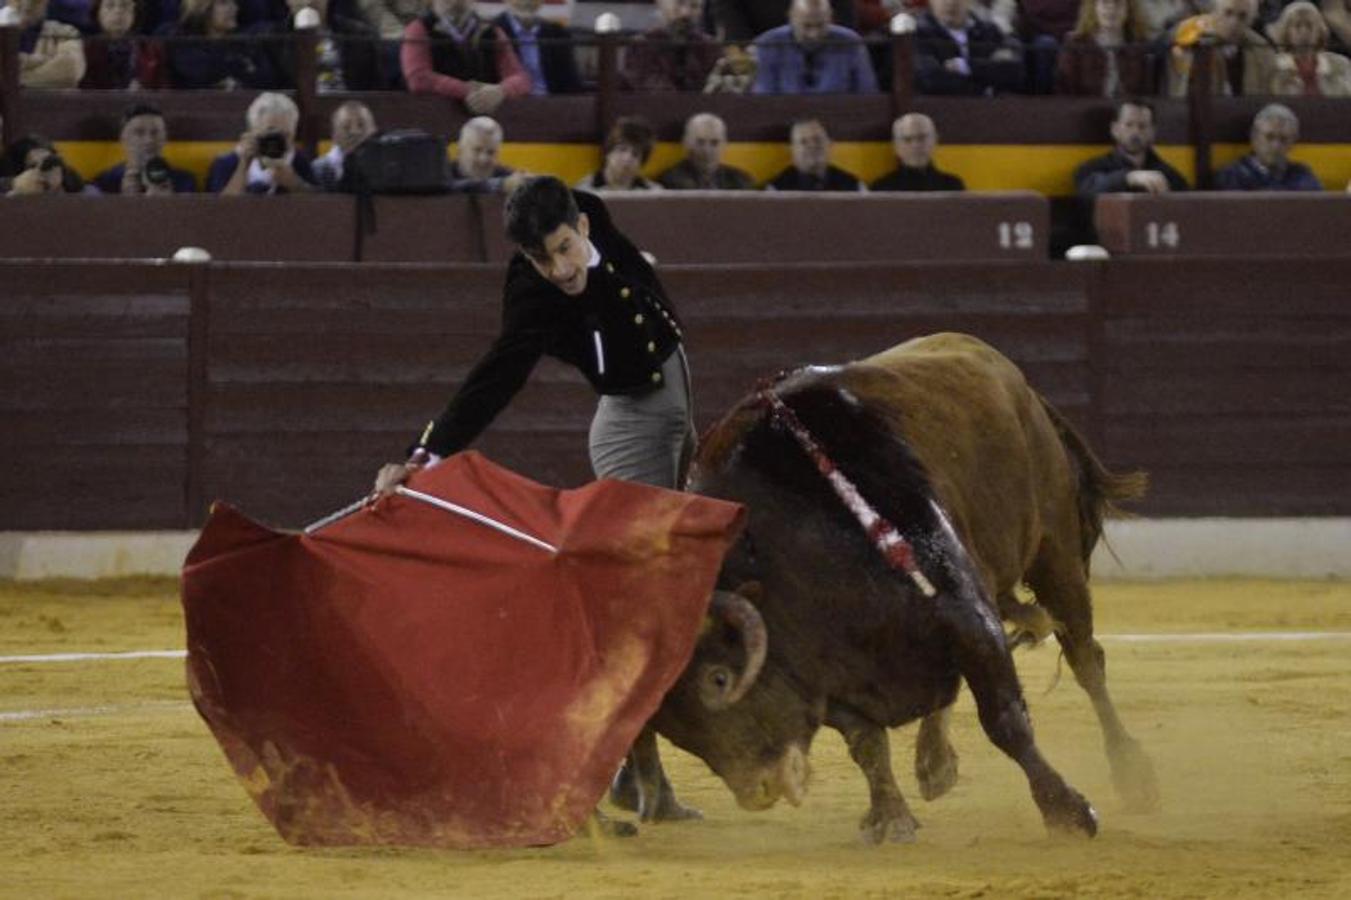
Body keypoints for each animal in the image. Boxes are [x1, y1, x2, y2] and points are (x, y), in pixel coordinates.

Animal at [648, 331, 1156, 843]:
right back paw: (934, 764)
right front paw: (890, 817)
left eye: (719, 679)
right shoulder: (826, 674)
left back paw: (1131, 772)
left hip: (1056, 552)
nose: (759, 790)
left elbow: (1005, 720)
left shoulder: (965, 612)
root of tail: (1014, 377)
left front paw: (1067, 811)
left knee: (1085, 659)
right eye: (674, 728)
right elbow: (867, 742)